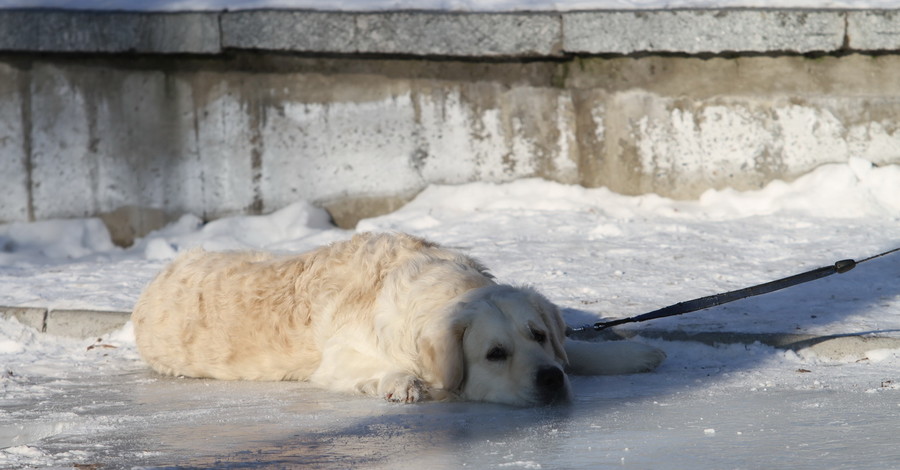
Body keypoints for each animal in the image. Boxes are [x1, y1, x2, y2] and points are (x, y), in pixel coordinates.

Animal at [130, 233, 664, 406]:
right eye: (495, 354)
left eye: (536, 335)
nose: (550, 380)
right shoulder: (337, 358)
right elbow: (375, 367)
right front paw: (402, 382)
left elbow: (575, 348)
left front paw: (634, 351)